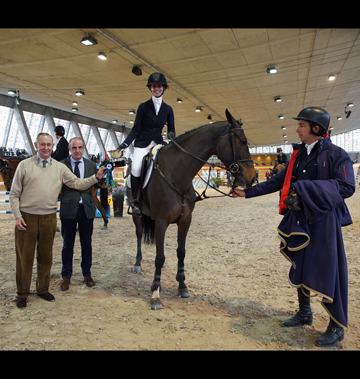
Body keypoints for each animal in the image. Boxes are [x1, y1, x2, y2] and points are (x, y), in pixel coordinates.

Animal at [129, 108, 256, 310]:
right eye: (241, 141)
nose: (252, 177)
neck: (177, 175)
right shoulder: (162, 222)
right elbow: (159, 256)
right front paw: (156, 294)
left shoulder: (185, 220)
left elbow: (181, 252)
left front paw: (182, 287)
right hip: (138, 217)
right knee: (140, 235)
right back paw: (138, 264)